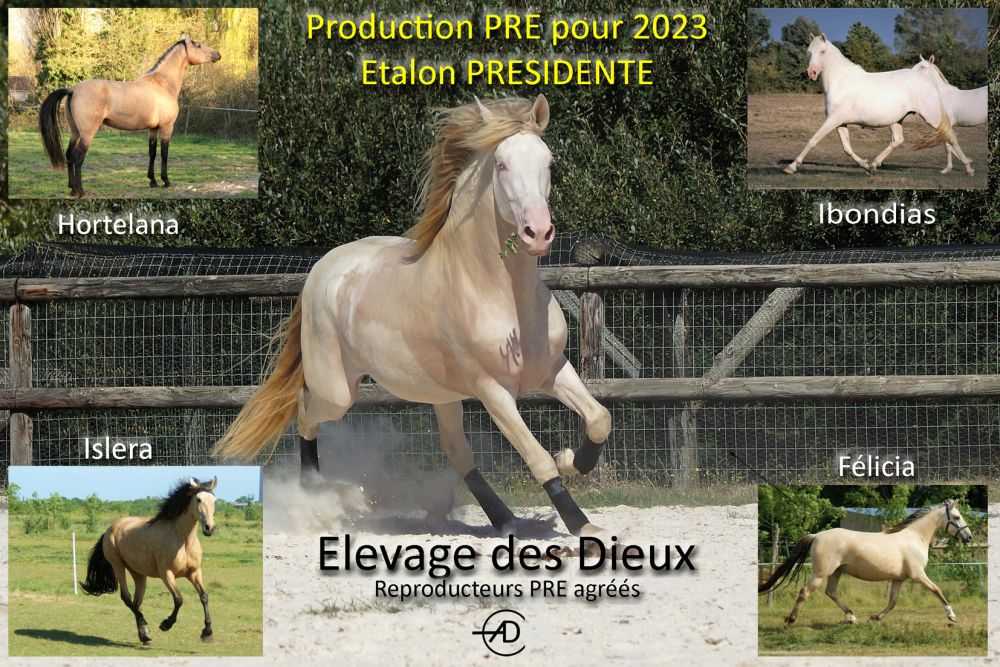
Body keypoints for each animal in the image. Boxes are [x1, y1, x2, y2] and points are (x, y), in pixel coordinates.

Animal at [39, 33, 221, 198]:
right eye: (198, 45)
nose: (217, 54)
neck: (162, 84)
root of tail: (73, 89)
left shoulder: (153, 129)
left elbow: (152, 153)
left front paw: (153, 181)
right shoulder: (167, 127)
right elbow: (164, 154)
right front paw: (166, 181)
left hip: (75, 132)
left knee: (69, 155)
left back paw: (71, 188)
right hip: (87, 134)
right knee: (78, 158)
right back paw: (80, 191)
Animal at [80, 477, 218, 645]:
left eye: (214, 501)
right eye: (198, 499)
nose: (209, 528)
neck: (183, 540)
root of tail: (110, 529)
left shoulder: (194, 573)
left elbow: (204, 597)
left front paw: (207, 632)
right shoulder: (167, 574)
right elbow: (179, 599)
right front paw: (166, 624)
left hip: (138, 573)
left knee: (136, 602)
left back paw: (144, 635)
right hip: (118, 565)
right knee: (126, 598)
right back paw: (145, 627)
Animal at [214, 95, 612, 540]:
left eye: (549, 162)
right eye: (502, 165)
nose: (538, 233)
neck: (499, 294)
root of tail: (321, 268)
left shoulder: (551, 368)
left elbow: (600, 418)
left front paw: (572, 461)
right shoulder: (492, 390)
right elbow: (537, 457)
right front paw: (582, 525)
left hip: (442, 395)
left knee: (456, 451)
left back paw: (506, 520)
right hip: (338, 390)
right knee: (305, 412)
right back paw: (313, 495)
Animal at [759, 500, 973, 629]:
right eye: (956, 517)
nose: (969, 537)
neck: (914, 538)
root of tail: (816, 535)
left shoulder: (899, 579)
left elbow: (892, 602)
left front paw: (875, 618)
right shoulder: (918, 574)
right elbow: (937, 590)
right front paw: (952, 616)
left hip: (836, 572)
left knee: (831, 592)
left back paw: (851, 617)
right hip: (821, 573)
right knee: (805, 592)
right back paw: (790, 622)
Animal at [783, 33, 970, 176]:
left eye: (822, 51)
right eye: (809, 52)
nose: (811, 72)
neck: (841, 82)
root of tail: (927, 81)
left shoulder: (833, 120)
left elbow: (813, 140)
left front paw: (791, 167)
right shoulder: (840, 123)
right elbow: (847, 148)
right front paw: (865, 166)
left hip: (931, 117)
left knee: (950, 136)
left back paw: (969, 168)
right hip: (897, 120)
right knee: (897, 140)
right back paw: (874, 165)